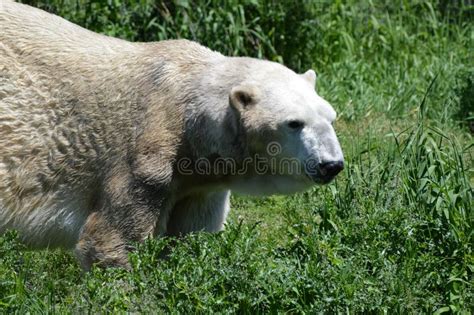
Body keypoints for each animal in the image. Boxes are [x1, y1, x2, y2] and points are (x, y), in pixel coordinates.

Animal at [0, 1, 340, 270]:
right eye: (294, 123)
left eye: (330, 117)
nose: (331, 164)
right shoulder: (145, 158)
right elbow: (109, 242)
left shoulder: (198, 185)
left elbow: (191, 236)